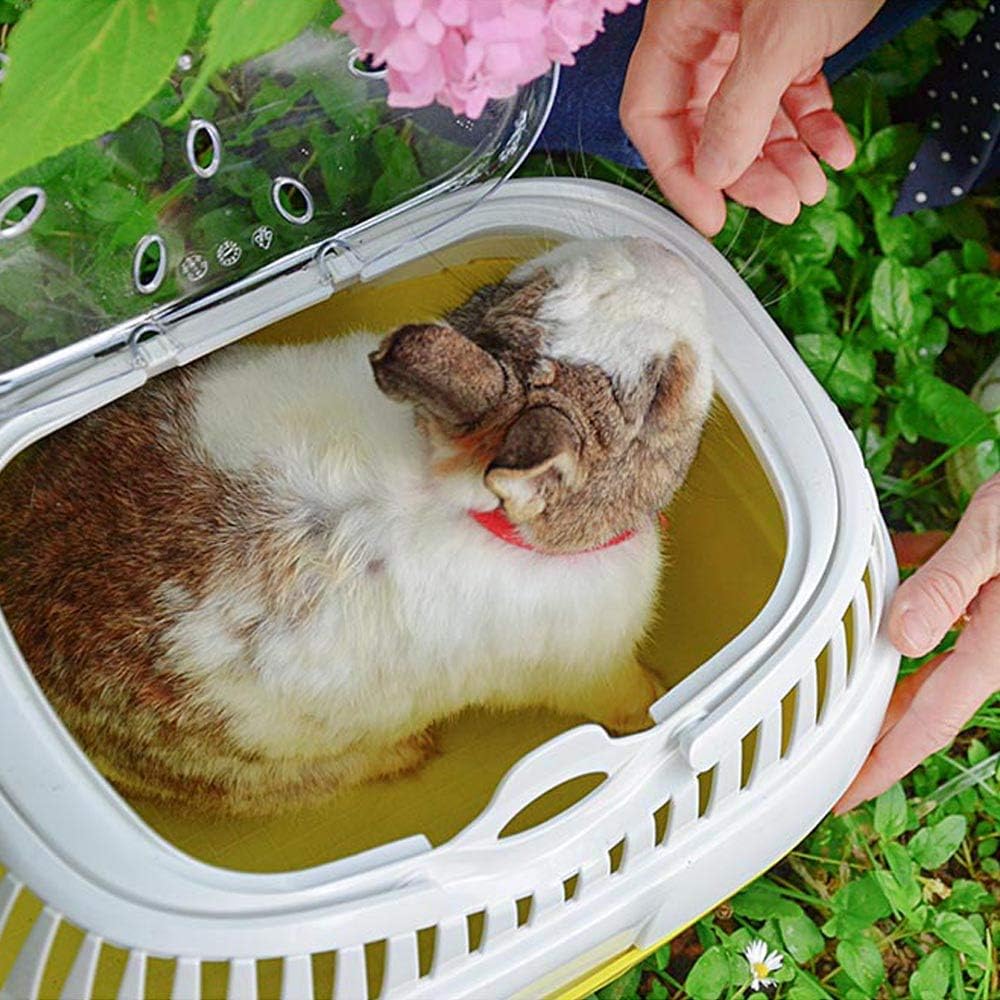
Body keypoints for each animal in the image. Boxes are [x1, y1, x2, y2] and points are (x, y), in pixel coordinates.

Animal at [0, 237, 713, 815]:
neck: (458, 493)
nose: (673, 255)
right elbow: (616, 695)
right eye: (663, 390)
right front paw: (653, 698)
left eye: (533, 280)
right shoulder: (588, 668)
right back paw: (412, 752)